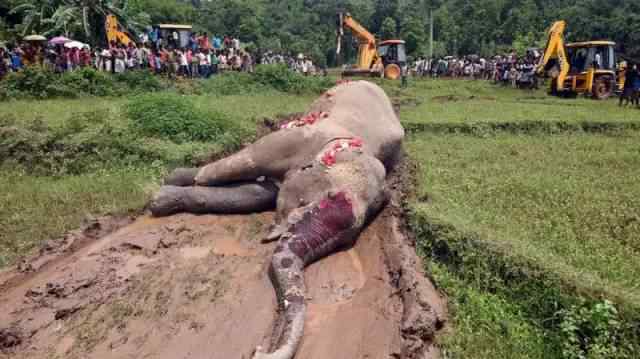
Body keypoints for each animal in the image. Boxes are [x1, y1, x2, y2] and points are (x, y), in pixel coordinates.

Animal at [149, 81, 404, 359]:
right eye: (323, 198)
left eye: (350, 239)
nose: (259, 351)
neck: (356, 148)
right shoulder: (297, 139)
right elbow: (245, 166)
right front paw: (165, 191)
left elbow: (256, 194)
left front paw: (163, 198)